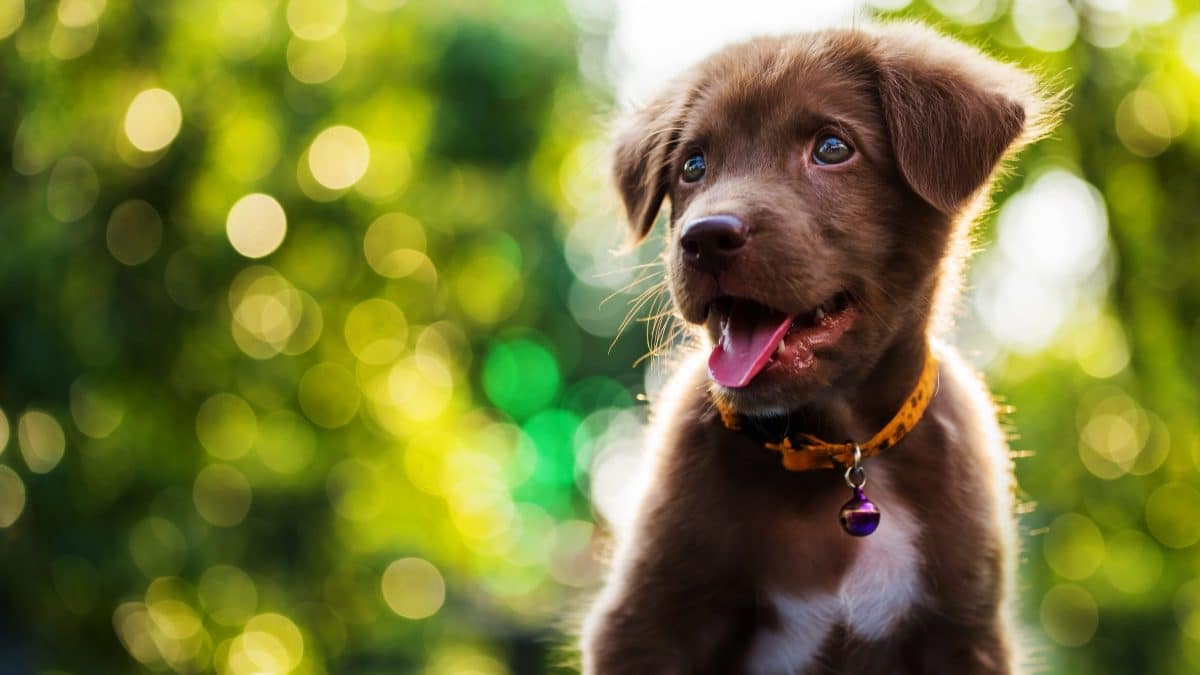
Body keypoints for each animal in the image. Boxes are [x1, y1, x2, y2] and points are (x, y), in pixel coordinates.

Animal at [580, 22, 1060, 672]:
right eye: (692, 165)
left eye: (832, 148)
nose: (704, 238)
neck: (838, 452)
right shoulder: (646, 625)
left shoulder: (964, 633)